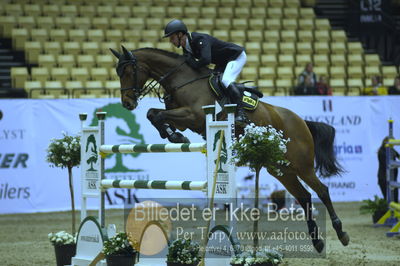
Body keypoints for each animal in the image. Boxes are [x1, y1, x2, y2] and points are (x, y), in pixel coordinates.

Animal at [110, 46, 350, 254]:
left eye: (128, 71)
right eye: (118, 72)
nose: (127, 103)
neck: (181, 79)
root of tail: (302, 121)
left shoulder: (194, 115)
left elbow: (158, 115)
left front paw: (174, 135)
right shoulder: (184, 118)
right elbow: (153, 114)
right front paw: (172, 134)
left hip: (302, 165)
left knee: (322, 191)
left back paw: (341, 233)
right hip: (280, 169)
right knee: (305, 197)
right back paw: (317, 241)